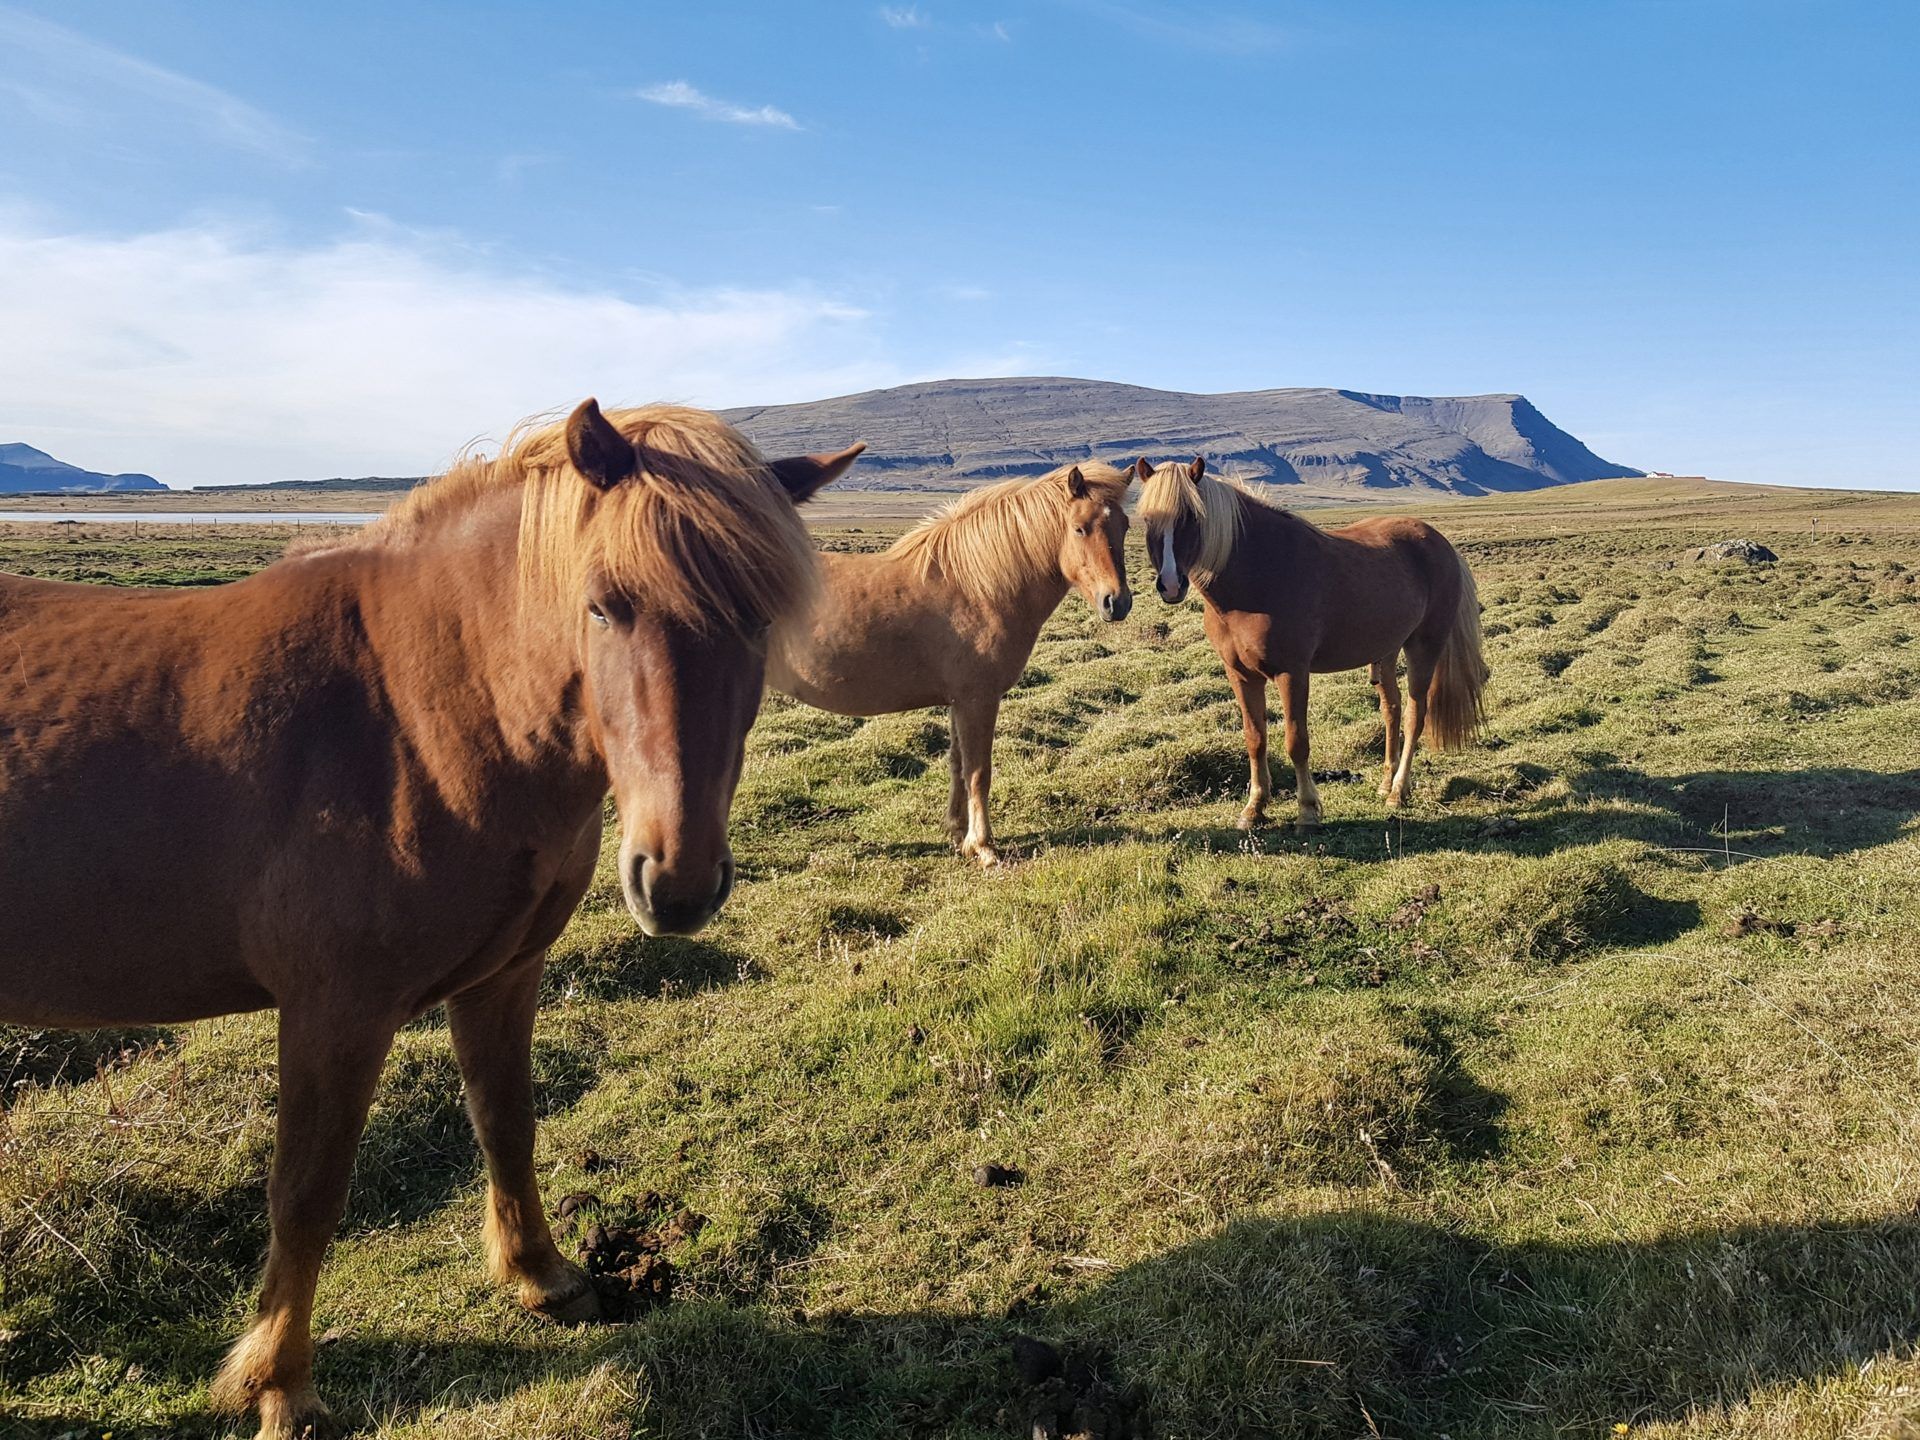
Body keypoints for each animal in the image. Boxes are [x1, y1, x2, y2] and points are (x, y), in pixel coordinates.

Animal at [0, 397, 864, 1440]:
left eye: (758, 617)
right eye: (603, 604)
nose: (679, 884)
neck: (416, 715)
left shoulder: (504, 976)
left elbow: (507, 1120)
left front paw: (543, 1277)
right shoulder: (335, 1014)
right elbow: (307, 1195)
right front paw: (282, 1387)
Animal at [768, 468, 1128, 864]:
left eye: (1125, 525)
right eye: (1080, 528)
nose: (1117, 602)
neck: (977, 587)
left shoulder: (958, 701)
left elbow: (958, 765)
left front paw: (959, 834)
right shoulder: (978, 699)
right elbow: (978, 772)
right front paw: (984, 847)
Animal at [1136, 456, 1482, 829]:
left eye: (1191, 517)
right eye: (1147, 519)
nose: (1171, 584)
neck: (1258, 576)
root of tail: (1441, 544)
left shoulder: (1293, 673)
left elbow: (1296, 741)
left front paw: (1307, 810)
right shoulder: (1240, 675)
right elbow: (1255, 739)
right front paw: (1254, 808)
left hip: (1424, 647)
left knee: (1415, 716)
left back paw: (1398, 792)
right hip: (1386, 651)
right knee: (1392, 709)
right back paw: (1385, 783)